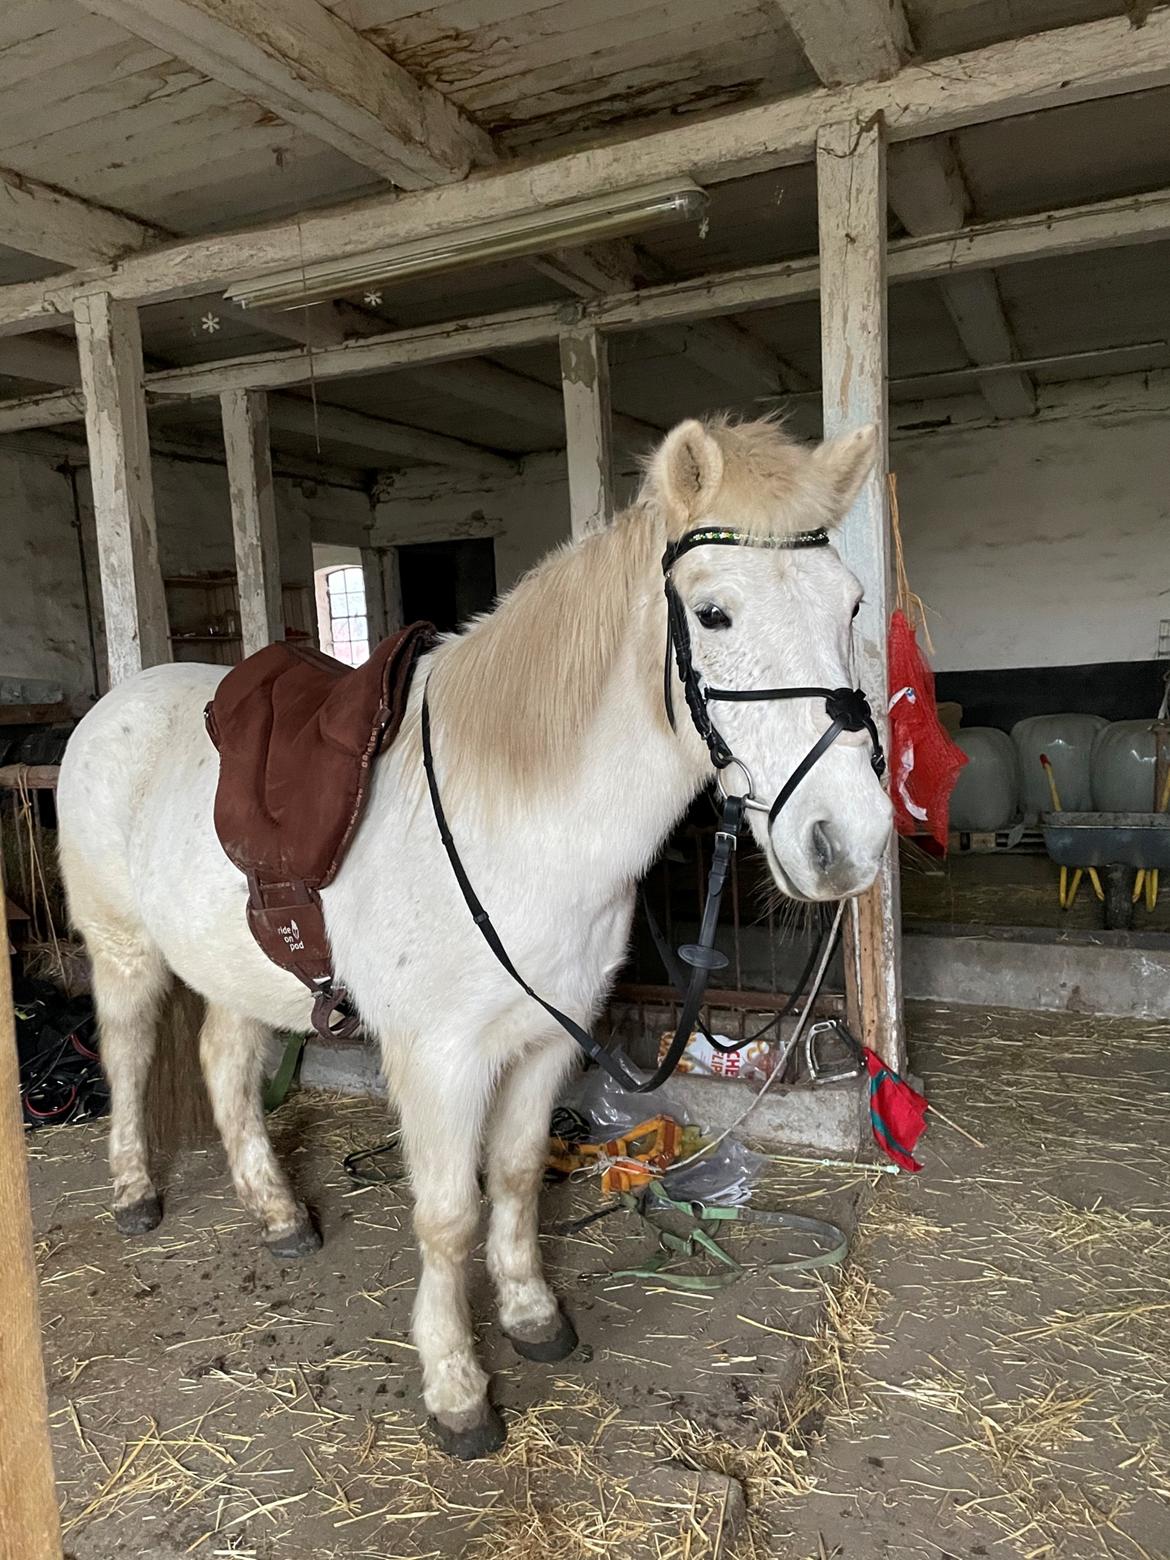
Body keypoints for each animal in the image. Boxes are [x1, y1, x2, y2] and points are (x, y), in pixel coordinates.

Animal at [59, 411, 892, 1447]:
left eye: (852, 606)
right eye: (713, 616)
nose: (849, 843)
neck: (522, 823)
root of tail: (114, 703)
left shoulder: (546, 1042)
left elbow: (520, 1177)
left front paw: (533, 1315)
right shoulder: (439, 1059)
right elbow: (449, 1214)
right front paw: (456, 1387)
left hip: (240, 964)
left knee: (222, 1062)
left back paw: (279, 1214)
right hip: (123, 949)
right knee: (130, 1054)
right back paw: (136, 1192)